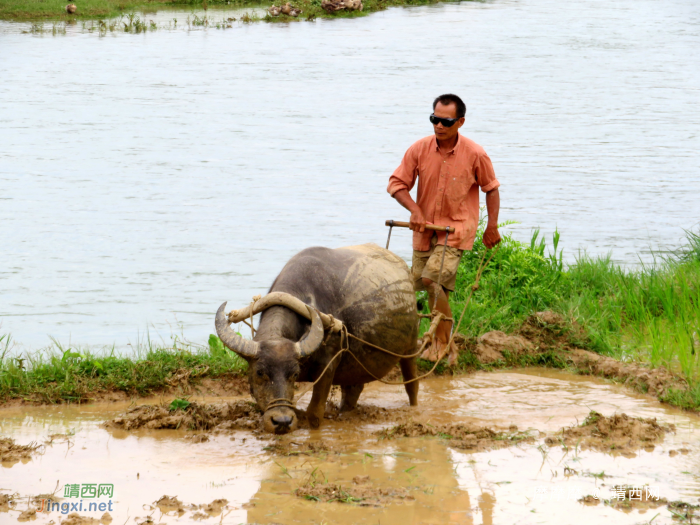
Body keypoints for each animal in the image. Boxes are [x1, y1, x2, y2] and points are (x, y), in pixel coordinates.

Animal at [216, 244, 418, 432]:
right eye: (259, 372)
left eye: (294, 373)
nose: (282, 421)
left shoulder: (327, 366)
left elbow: (314, 414)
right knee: (352, 391)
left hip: (411, 348)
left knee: (412, 384)